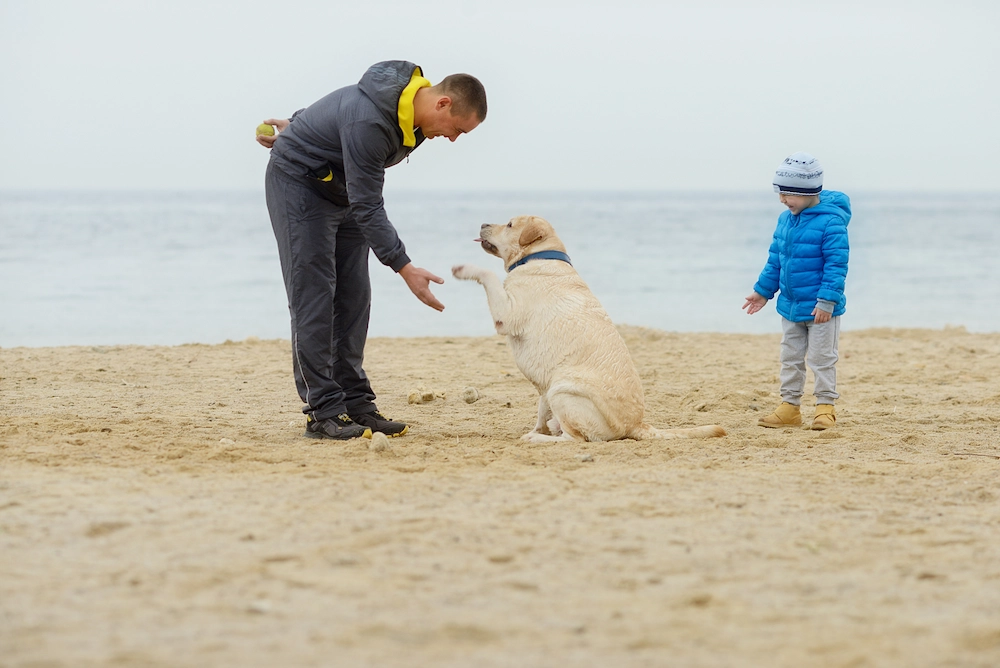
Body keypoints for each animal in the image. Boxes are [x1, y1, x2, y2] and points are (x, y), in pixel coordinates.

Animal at [454, 215, 728, 444]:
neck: (541, 256)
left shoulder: (506, 313)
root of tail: (637, 425)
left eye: (510, 224)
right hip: (549, 387)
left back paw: (539, 438)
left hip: (562, 389)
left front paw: (464, 269)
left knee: (575, 438)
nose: (483, 223)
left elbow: (488, 275)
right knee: (547, 417)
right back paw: (543, 430)